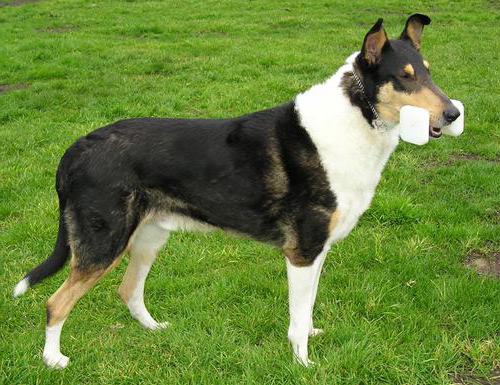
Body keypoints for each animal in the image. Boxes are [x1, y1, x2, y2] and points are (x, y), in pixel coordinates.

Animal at [13, 14, 460, 368]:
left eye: (428, 71)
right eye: (404, 77)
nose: (453, 113)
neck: (356, 118)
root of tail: (76, 148)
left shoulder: (318, 250)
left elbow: (309, 308)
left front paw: (312, 337)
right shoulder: (302, 251)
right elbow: (298, 316)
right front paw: (303, 364)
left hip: (149, 236)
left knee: (128, 290)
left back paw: (155, 328)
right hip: (104, 241)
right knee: (55, 302)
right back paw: (53, 360)